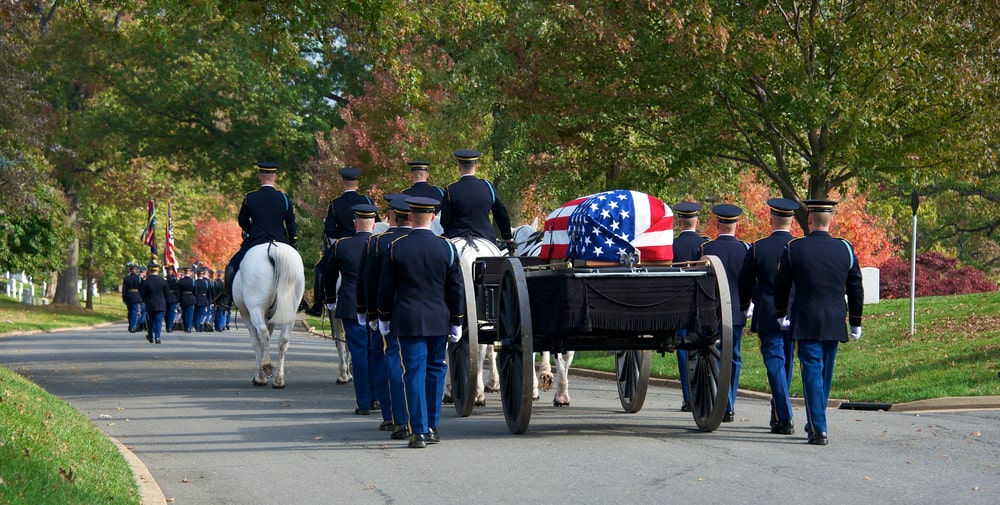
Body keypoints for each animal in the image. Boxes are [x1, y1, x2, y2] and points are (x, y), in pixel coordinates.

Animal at [233, 242, 304, 388]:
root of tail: (273, 248)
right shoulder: (271, 318)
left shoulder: (246, 314)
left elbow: (256, 342)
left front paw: (259, 377)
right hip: (290, 312)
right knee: (283, 340)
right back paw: (278, 380)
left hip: (255, 309)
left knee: (263, 332)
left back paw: (266, 366)